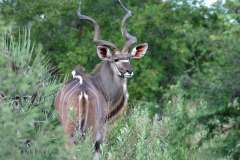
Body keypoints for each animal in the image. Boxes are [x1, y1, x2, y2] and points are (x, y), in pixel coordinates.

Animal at [54, 0, 148, 156]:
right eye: (115, 59)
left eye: (129, 58)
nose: (129, 71)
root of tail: (83, 93)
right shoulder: (102, 132)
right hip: (87, 132)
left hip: (71, 131)